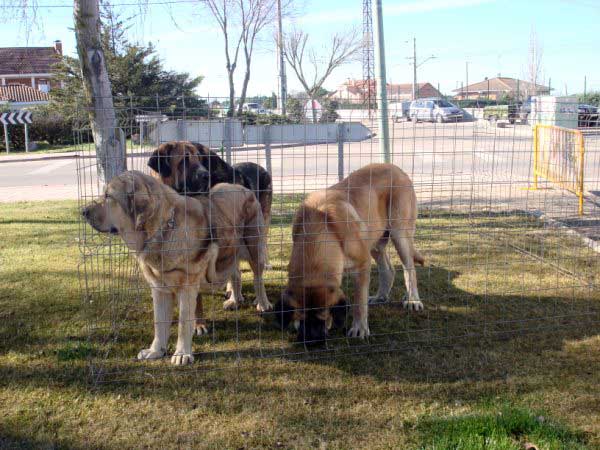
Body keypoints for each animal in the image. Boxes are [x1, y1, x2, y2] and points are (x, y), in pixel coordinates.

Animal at [81, 171, 270, 364]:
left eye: (108, 196)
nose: (83, 212)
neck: (161, 230)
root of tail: (242, 187)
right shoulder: (159, 289)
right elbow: (159, 322)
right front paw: (155, 351)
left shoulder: (187, 286)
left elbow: (183, 322)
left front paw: (181, 354)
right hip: (229, 252)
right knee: (235, 273)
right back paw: (235, 299)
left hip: (254, 248)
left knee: (258, 278)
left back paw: (263, 304)